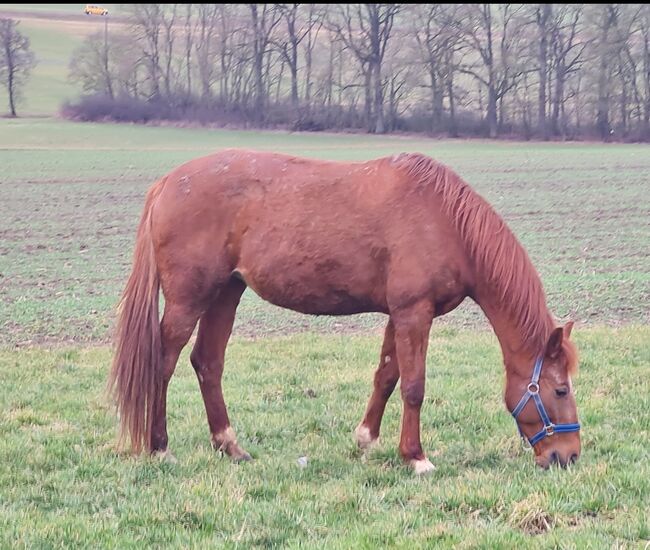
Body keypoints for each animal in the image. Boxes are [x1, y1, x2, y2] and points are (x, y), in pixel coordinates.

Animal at [109, 150, 580, 474]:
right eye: (560, 390)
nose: (569, 455)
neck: (445, 222)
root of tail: (168, 182)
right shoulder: (414, 313)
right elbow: (414, 386)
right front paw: (416, 457)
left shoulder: (400, 313)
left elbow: (387, 376)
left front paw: (365, 440)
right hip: (189, 298)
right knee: (164, 362)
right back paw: (160, 446)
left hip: (227, 292)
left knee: (207, 362)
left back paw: (229, 445)